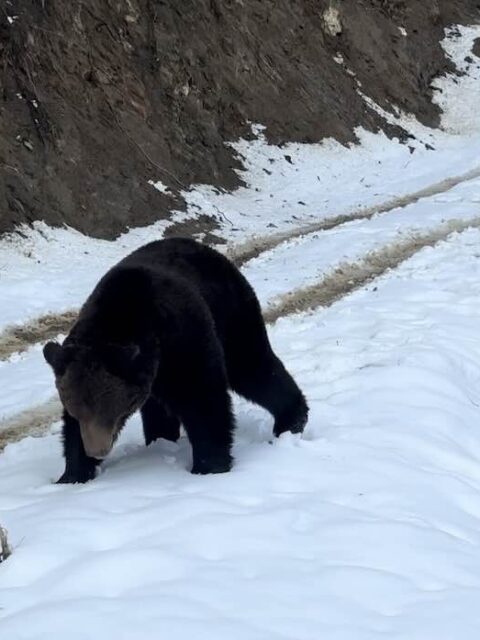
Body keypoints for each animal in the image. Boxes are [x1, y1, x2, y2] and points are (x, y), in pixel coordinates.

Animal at [43, 237, 309, 483]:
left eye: (112, 411)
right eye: (76, 410)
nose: (97, 450)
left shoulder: (184, 341)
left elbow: (204, 401)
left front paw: (209, 465)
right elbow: (71, 432)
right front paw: (73, 473)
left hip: (231, 314)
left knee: (252, 368)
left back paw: (292, 419)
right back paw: (160, 440)